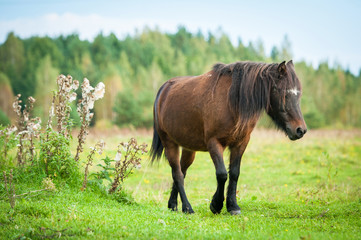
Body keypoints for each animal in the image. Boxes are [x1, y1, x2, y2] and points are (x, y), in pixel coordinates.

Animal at [150, 61, 306, 215]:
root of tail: (164, 90)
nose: (300, 130)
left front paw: (233, 206)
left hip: (189, 149)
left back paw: (174, 205)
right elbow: (222, 174)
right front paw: (216, 204)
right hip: (170, 144)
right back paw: (188, 208)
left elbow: (235, 173)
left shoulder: (241, 143)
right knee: (177, 174)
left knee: (181, 172)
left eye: (298, 94)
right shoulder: (214, 143)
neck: (231, 102)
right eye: (283, 92)